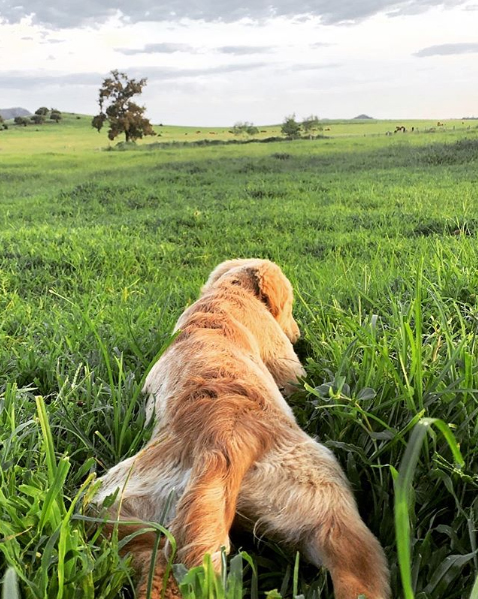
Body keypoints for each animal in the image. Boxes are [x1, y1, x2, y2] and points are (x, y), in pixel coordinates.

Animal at [95, 258, 390, 599]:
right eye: (290, 306)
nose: (298, 333)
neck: (227, 293)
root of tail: (220, 445)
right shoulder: (285, 364)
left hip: (110, 503)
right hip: (327, 501)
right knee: (359, 572)